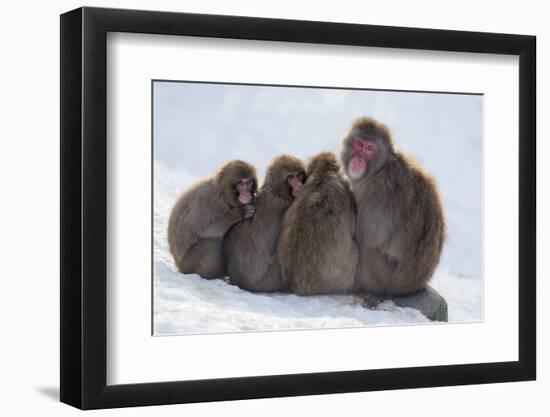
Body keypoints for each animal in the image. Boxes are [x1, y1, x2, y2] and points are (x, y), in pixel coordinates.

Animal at [225, 154, 310, 290]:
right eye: (291, 177)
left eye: (299, 175)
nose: (299, 185)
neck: (275, 192)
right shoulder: (285, 204)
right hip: (270, 280)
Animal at [340, 115, 448, 294]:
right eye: (359, 144)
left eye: (370, 148)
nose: (359, 158)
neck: (380, 167)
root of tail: (414, 286)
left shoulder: (378, 190)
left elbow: (370, 237)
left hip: (381, 277)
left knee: (368, 249)